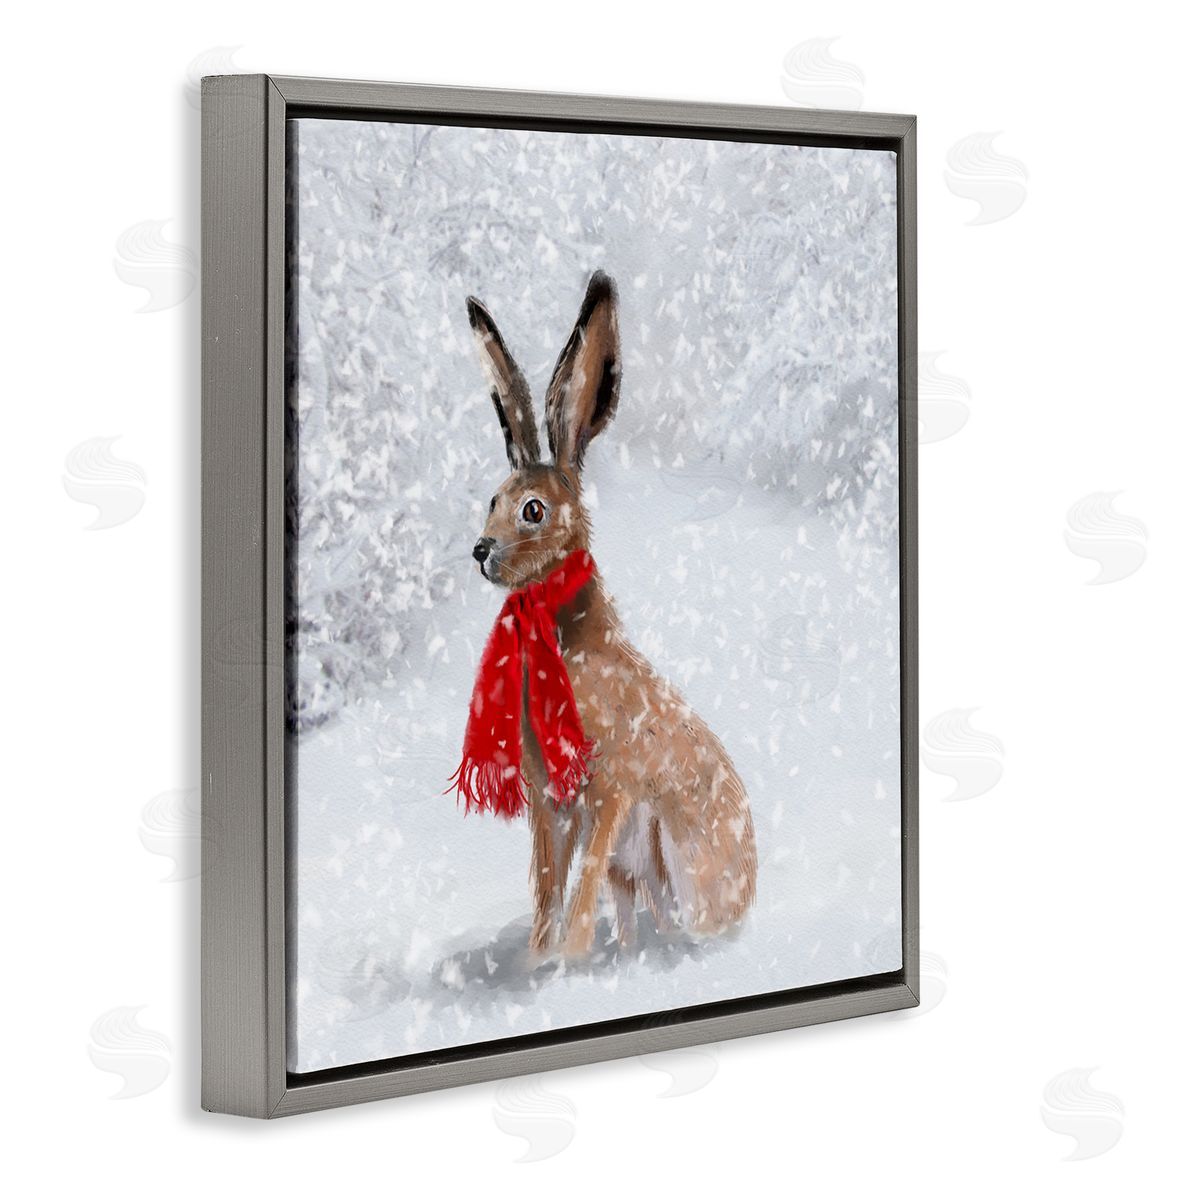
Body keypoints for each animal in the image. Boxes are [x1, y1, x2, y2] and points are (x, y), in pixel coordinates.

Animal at [464, 270, 757, 958]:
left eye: (534, 510)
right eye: (492, 499)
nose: (481, 551)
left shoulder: (612, 791)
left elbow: (577, 893)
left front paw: (564, 961)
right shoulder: (550, 806)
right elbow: (547, 889)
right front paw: (540, 962)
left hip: (669, 846)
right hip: (638, 867)